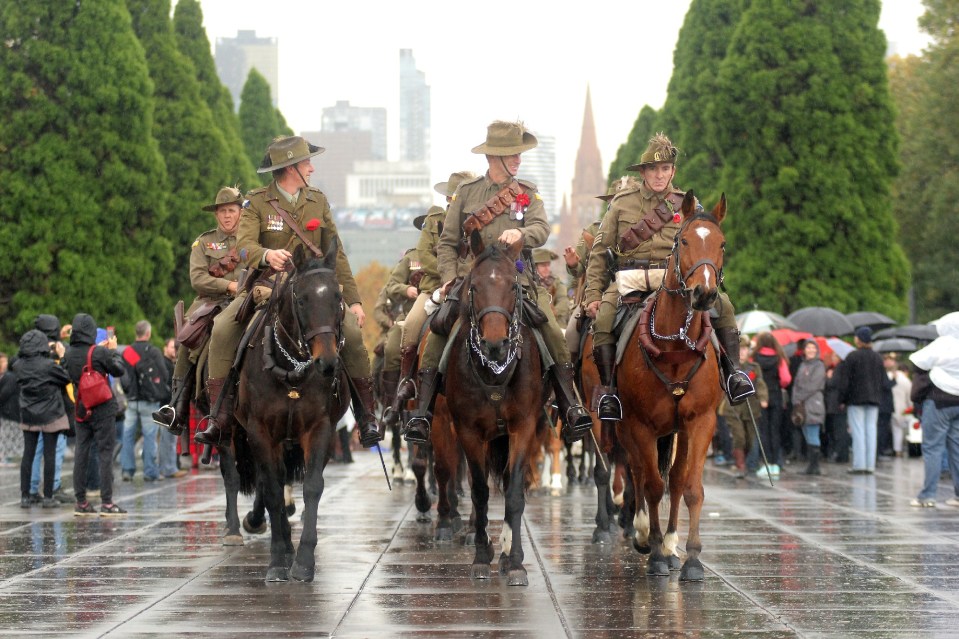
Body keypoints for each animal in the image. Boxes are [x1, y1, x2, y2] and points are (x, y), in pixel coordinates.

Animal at [233, 242, 352, 584]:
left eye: (338, 298)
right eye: (301, 299)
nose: (327, 362)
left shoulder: (320, 429)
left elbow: (312, 486)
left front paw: (304, 562)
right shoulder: (259, 432)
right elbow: (272, 489)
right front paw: (277, 561)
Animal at [442, 230, 548, 584]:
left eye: (513, 286)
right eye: (473, 286)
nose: (495, 343)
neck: (495, 372)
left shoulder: (523, 428)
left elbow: (514, 493)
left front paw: (514, 562)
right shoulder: (467, 432)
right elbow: (479, 491)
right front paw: (480, 555)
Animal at [616, 192, 728, 584]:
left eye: (722, 243)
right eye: (683, 241)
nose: (704, 294)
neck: (676, 348)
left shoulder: (701, 421)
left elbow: (690, 486)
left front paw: (691, 557)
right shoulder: (640, 424)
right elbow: (650, 483)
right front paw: (654, 553)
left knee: (676, 479)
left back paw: (669, 541)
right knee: (637, 471)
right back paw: (645, 535)